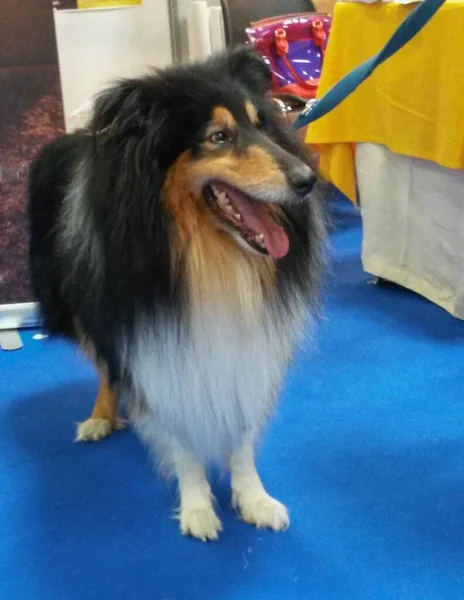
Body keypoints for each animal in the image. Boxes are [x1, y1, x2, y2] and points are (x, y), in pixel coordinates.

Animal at [28, 49, 326, 540]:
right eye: (218, 136)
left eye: (260, 124)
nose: (309, 180)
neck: (208, 262)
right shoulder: (153, 344)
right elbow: (181, 437)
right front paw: (198, 509)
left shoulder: (247, 347)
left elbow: (241, 435)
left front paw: (254, 500)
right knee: (107, 368)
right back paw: (100, 418)